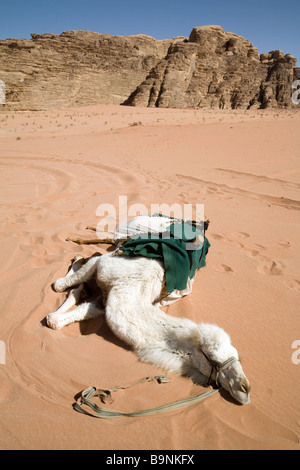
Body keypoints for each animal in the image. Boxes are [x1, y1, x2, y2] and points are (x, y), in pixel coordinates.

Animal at [47, 217, 251, 404]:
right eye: (212, 359)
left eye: (236, 357)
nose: (246, 388)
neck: (134, 288)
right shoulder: (103, 264)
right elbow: (59, 285)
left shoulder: (105, 301)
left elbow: (77, 311)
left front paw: (58, 314)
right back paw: (77, 249)